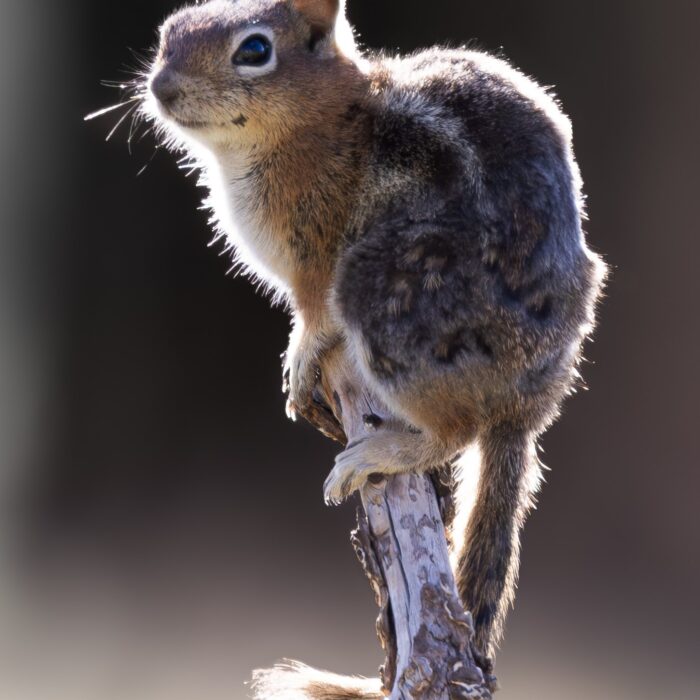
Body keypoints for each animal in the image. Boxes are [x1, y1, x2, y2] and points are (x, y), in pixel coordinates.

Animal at [140, 0, 606, 696]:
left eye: (254, 50)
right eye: (169, 33)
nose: (161, 87)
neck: (324, 121)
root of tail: (529, 404)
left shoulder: (316, 262)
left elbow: (314, 323)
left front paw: (300, 361)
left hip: (379, 289)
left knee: (454, 431)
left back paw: (380, 452)